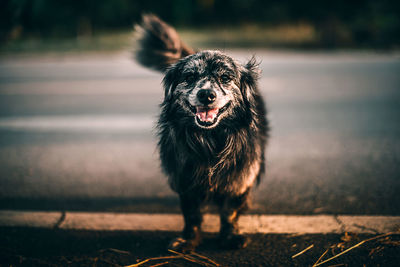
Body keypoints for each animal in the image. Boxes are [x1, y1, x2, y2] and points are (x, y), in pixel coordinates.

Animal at [134, 14, 268, 253]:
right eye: (189, 77)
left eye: (225, 78)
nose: (206, 94)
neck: (210, 140)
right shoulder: (185, 179)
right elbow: (192, 214)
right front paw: (189, 239)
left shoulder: (240, 176)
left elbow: (229, 211)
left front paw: (230, 236)